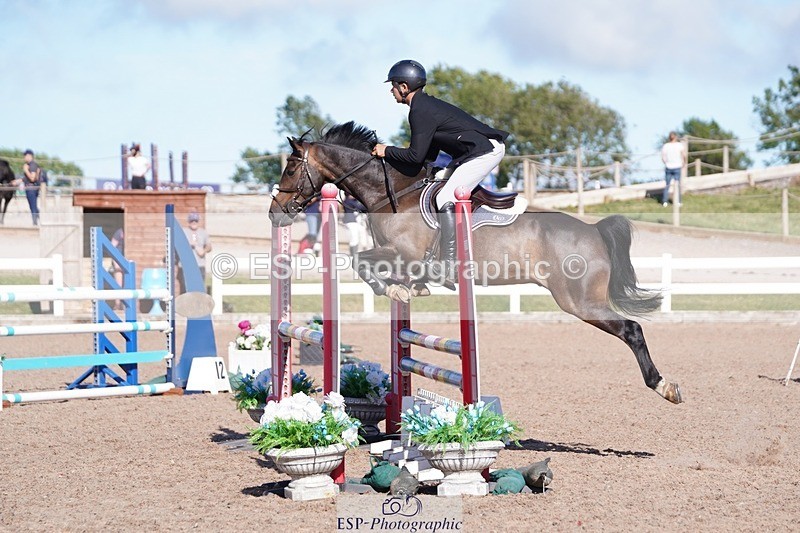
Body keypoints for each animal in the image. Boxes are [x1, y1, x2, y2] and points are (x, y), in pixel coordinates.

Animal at [269, 122, 682, 404]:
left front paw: (397, 289)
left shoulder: (406, 252)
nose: (275, 213)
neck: (393, 192)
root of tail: (594, 230)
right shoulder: (401, 256)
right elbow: (373, 266)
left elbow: (360, 261)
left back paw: (664, 386)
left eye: (290, 169)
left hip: (579, 301)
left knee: (631, 329)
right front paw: (409, 288)